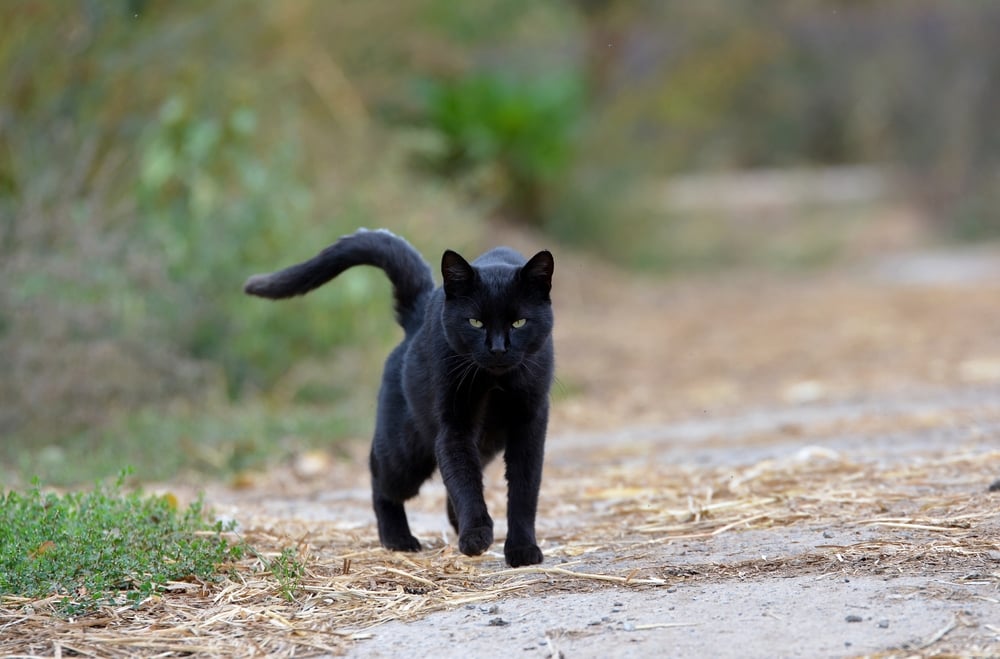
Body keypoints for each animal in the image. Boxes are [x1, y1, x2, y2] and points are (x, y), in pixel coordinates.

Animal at [244, 228, 556, 568]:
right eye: (475, 322)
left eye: (519, 322)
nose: (498, 349)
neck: (496, 381)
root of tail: (418, 312)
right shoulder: (454, 426)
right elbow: (464, 481)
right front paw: (476, 535)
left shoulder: (529, 425)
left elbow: (523, 490)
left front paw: (522, 549)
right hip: (406, 453)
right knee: (380, 481)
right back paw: (398, 539)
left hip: (482, 443)